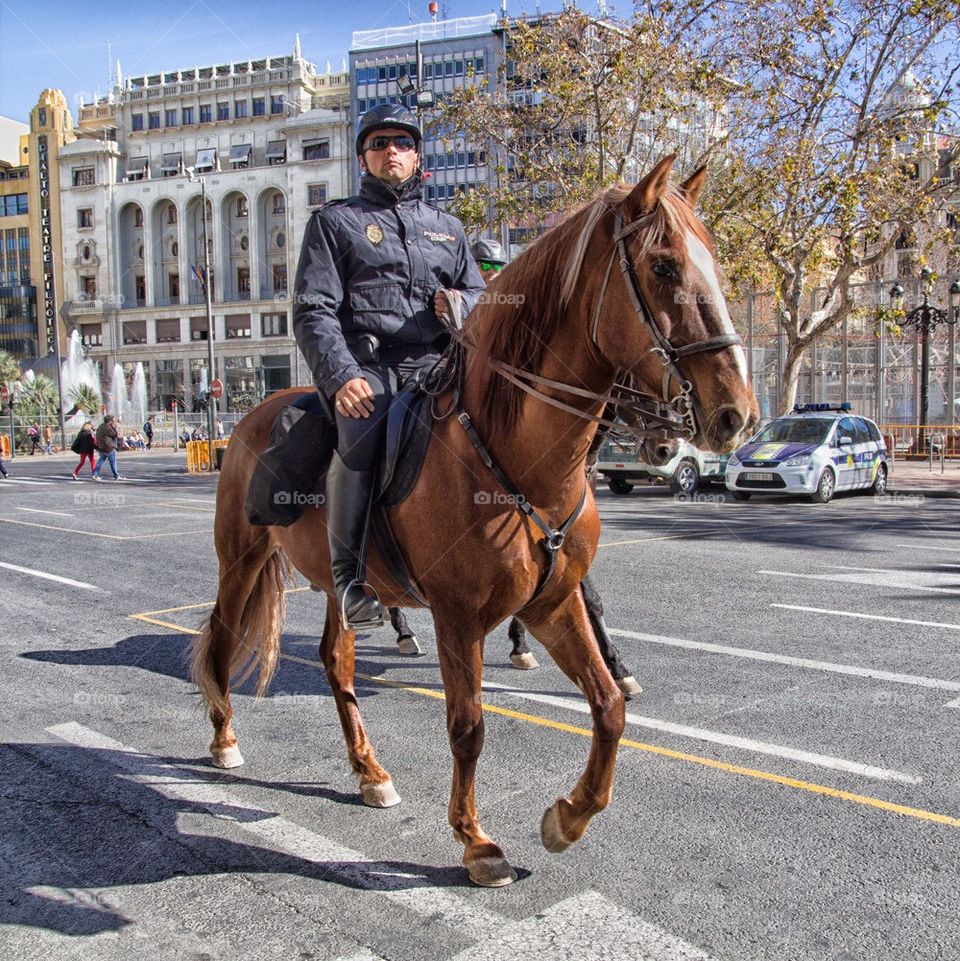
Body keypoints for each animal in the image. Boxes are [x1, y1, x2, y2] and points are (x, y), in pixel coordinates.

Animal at [190, 155, 758, 888]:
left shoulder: (553, 602)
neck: (513, 457)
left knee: (336, 662)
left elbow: (609, 706)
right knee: (222, 644)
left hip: (337, 586)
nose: (736, 413)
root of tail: (252, 416)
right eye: (663, 266)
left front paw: (568, 817)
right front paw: (475, 840)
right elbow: (468, 725)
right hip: (241, 560)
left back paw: (369, 771)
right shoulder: (457, 617)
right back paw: (224, 740)